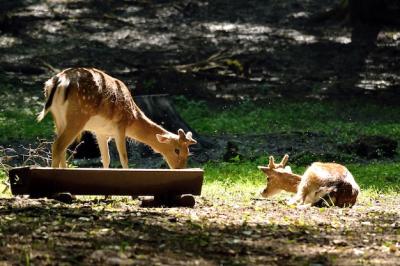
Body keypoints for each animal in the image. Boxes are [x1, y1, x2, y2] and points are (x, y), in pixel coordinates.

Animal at [38, 67, 198, 169]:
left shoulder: (100, 132)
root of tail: (58, 82)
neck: (133, 117)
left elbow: (106, 159)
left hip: (58, 119)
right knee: (58, 146)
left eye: (188, 153)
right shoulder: (120, 125)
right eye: (177, 150)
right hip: (77, 117)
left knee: (61, 147)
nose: (180, 168)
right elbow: (124, 158)